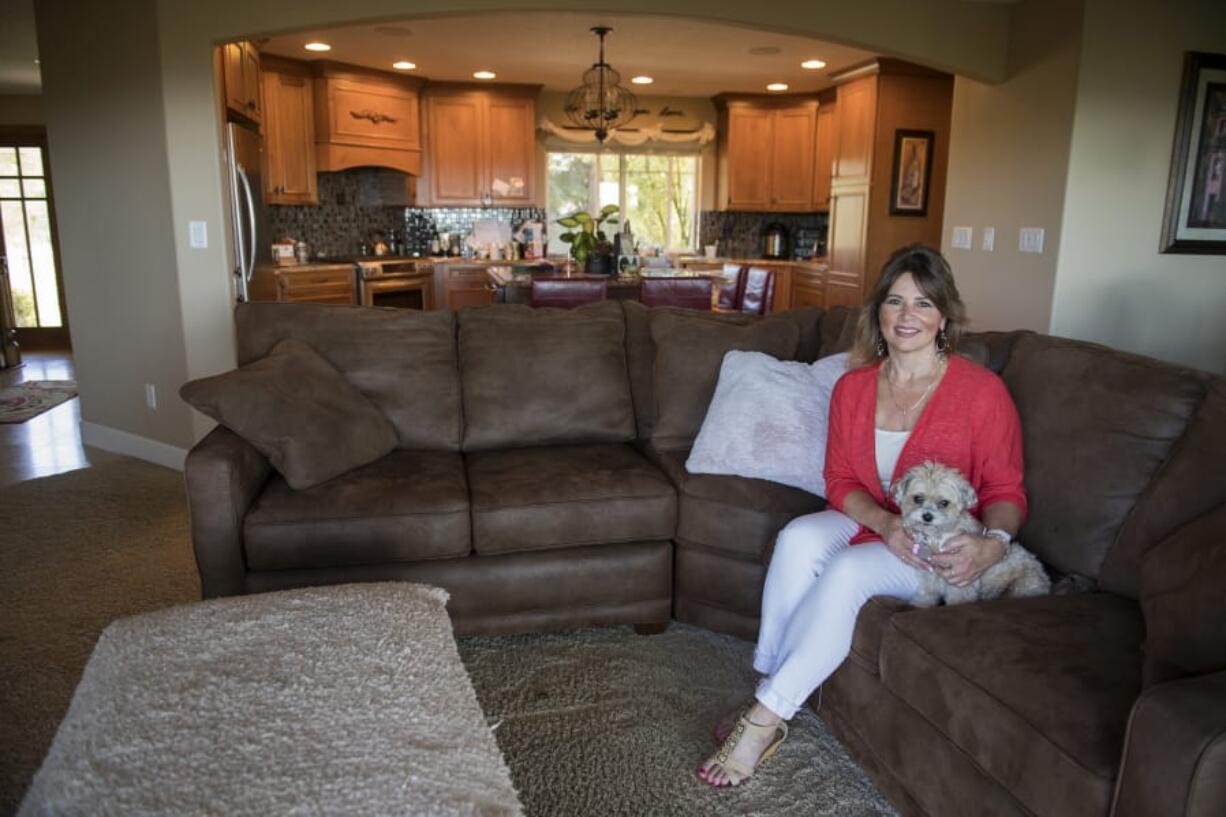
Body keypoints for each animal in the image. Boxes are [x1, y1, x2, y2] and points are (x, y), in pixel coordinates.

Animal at [892, 458, 1054, 603]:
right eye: (917, 498)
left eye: (944, 503)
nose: (927, 516)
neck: (936, 538)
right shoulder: (929, 574)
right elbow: (927, 594)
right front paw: (920, 605)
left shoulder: (962, 581)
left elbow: (957, 599)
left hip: (1020, 586)